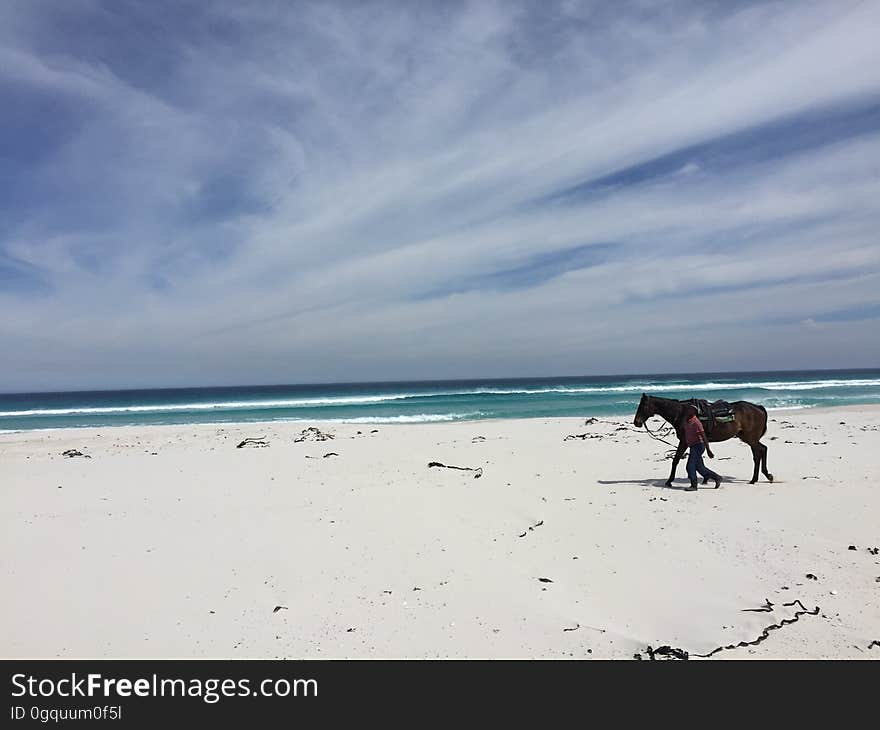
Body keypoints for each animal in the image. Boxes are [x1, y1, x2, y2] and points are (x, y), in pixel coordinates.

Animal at [632, 390, 768, 486]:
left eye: (642, 406)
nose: (636, 422)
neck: (682, 413)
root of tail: (759, 408)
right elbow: (697, 461)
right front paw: (706, 478)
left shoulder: (684, 441)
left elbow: (676, 460)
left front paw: (670, 481)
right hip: (748, 438)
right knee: (760, 452)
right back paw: (759, 477)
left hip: (751, 438)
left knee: (760, 452)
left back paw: (761, 477)